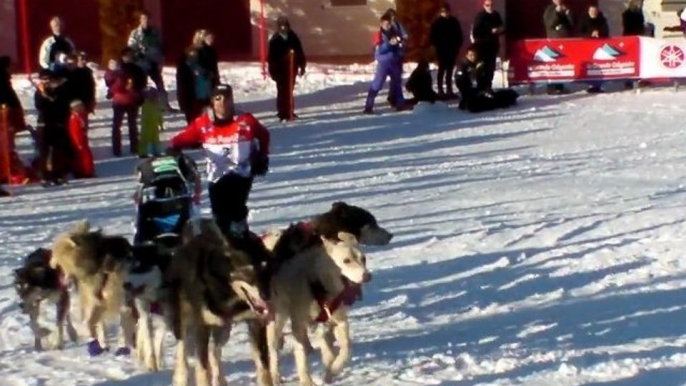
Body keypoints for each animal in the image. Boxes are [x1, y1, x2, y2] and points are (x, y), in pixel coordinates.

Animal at [266, 229, 370, 386]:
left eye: (363, 259)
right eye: (346, 260)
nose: (367, 276)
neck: (319, 284)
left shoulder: (339, 322)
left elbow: (346, 349)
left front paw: (332, 370)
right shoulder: (298, 325)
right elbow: (301, 357)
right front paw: (306, 380)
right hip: (278, 319)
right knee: (273, 349)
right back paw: (275, 375)